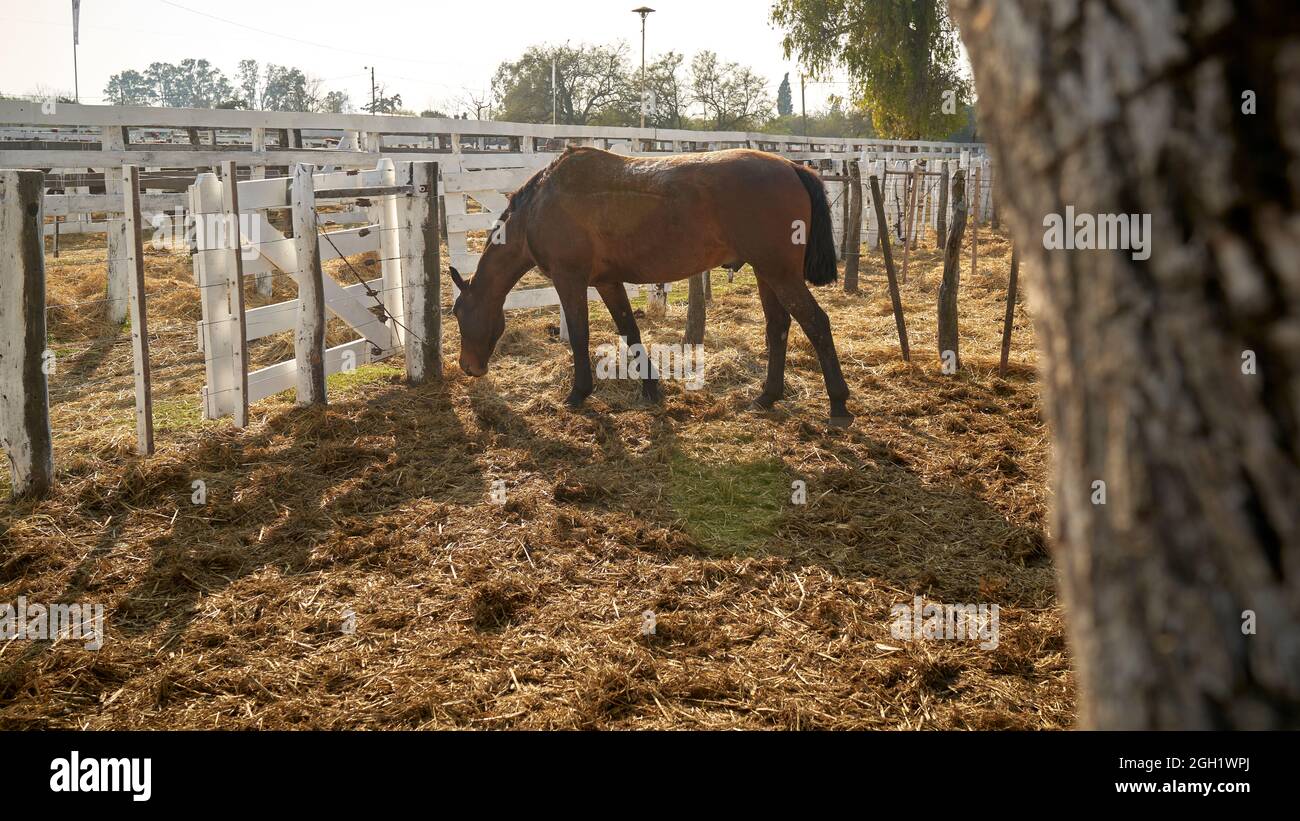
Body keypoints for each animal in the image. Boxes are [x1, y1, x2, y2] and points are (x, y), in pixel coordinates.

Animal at [447, 147, 852, 426]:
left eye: (458, 313)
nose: (468, 367)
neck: (542, 204)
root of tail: (792, 167)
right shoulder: (608, 282)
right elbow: (630, 330)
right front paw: (650, 387)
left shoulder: (570, 279)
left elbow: (579, 334)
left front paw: (578, 393)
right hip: (767, 274)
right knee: (778, 327)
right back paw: (767, 396)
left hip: (779, 273)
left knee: (817, 324)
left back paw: (838, 404)